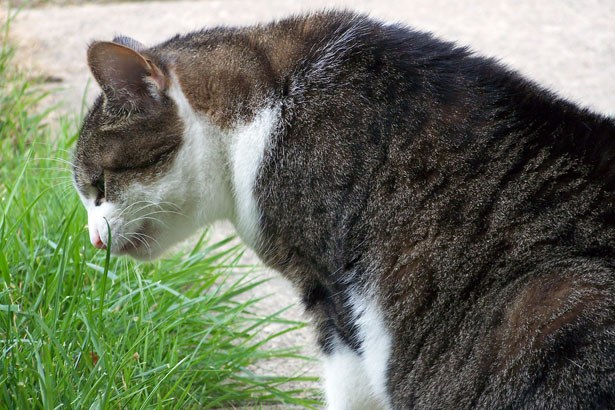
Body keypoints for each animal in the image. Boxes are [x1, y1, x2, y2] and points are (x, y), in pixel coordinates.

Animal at [74, 10, 615, 410]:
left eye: (99, 187)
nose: (93, 240)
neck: (267, 109)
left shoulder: (333, 296)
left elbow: (348, 387)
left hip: (550, 304)